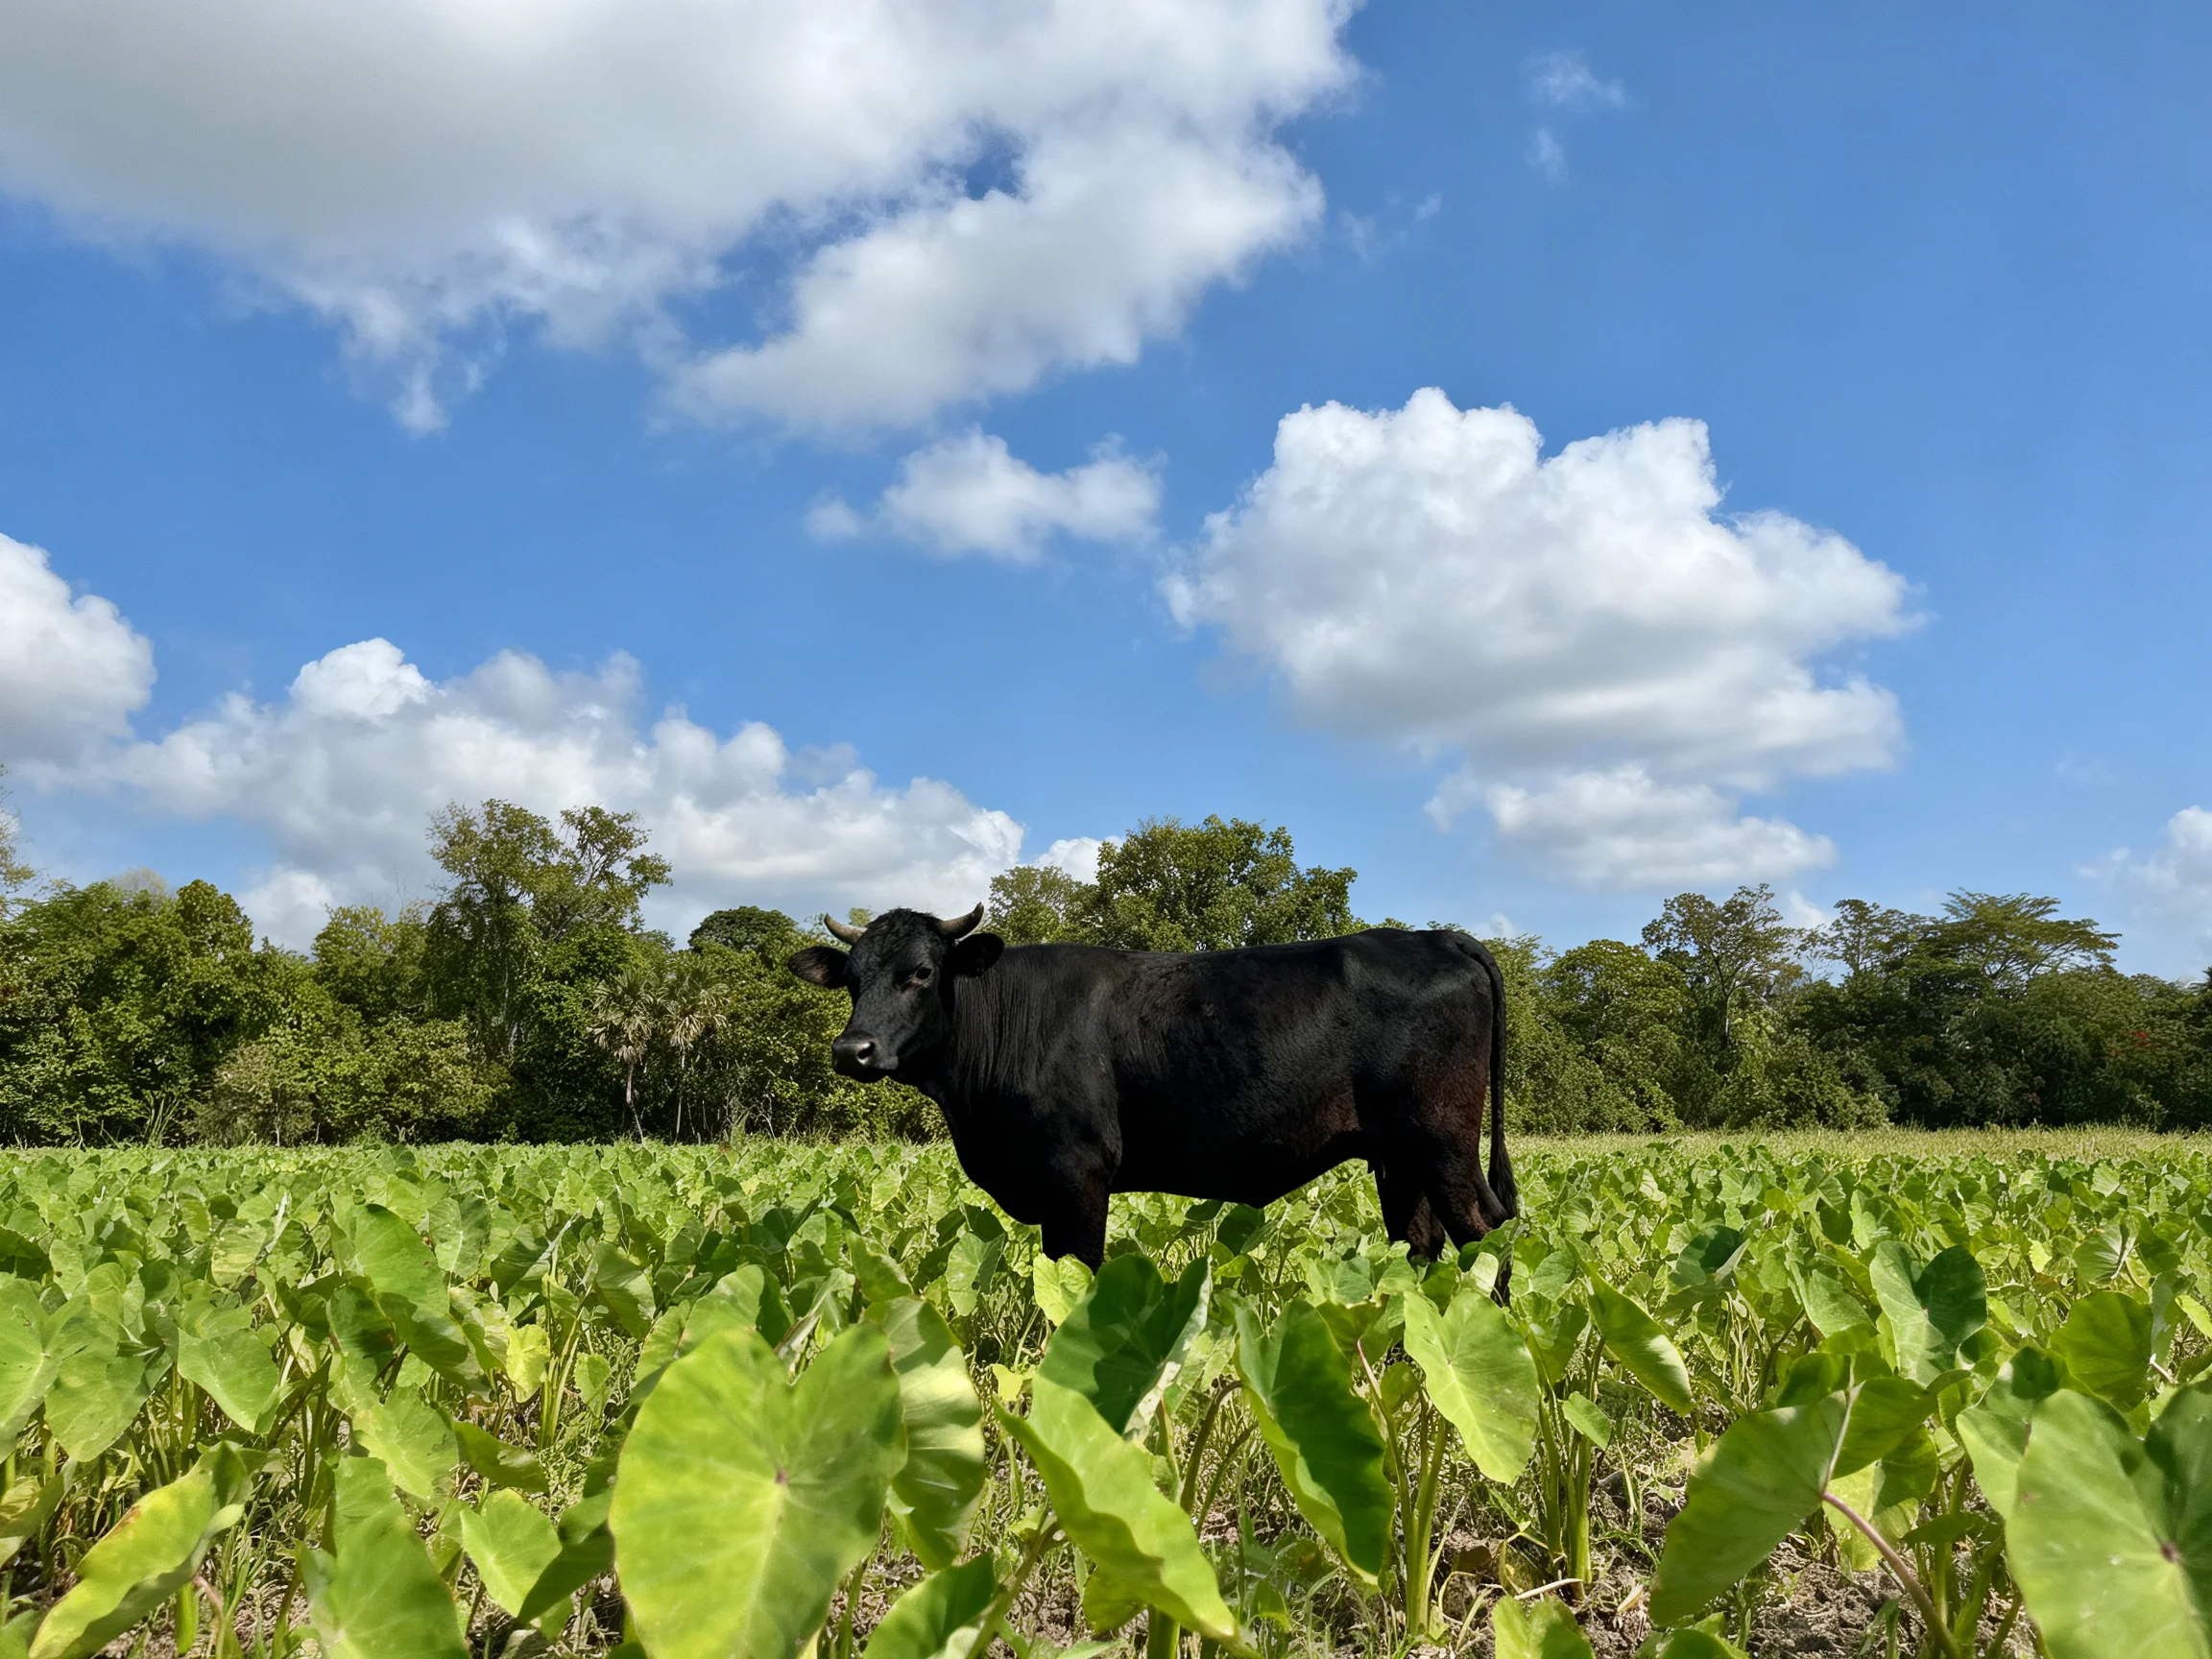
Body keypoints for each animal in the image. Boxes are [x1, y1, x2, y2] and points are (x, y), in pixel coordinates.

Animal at [787, 904, 1517, 1291]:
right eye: (852, 980)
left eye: (920, 973)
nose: (851, 1050)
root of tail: (1437, 935)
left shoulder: (1078, 1175)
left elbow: (1074, 1277)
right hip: (1399, 1158)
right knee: (1416, 1246)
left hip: (1443, 1141)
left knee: (1487, 1233)